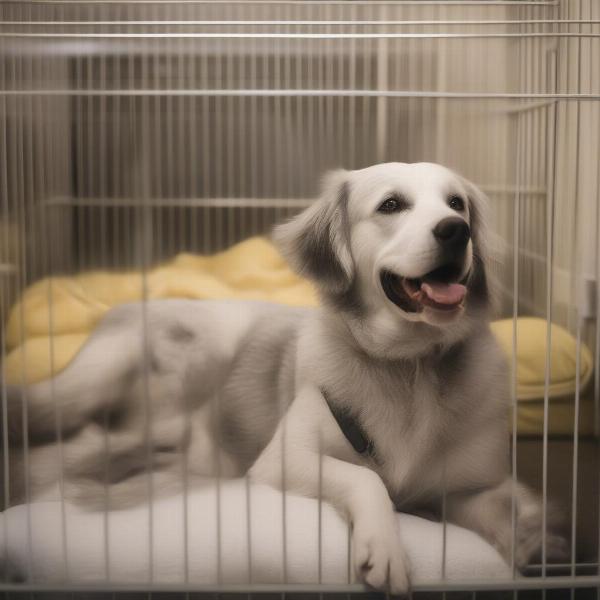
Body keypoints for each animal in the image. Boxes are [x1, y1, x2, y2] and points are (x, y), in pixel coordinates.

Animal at [5, 162, 568, 592]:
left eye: (457, 203)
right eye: (391, 205)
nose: (456, 230)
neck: (410, 369)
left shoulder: (467, 487)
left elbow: (510, 503)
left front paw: (539, 543)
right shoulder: (284, 459)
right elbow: (366, 478)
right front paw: (384, 546)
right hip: (124, 373)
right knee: (63, 443)